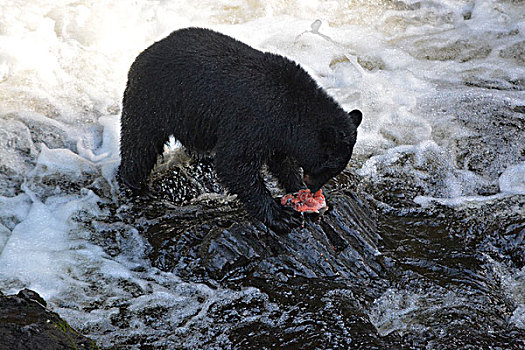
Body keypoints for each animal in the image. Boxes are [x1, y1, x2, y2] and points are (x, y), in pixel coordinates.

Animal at [119, 26, 360, 230]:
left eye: (334, 170)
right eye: (327, 168)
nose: (313, 188)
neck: (292, 110)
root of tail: (143, 53)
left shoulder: (277, 134)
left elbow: (281, 161)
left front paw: (297, 190)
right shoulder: (253, 121)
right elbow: (234, 164)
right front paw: (280, 215)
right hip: (153, 100)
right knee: (139, 145)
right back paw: (136, 187)